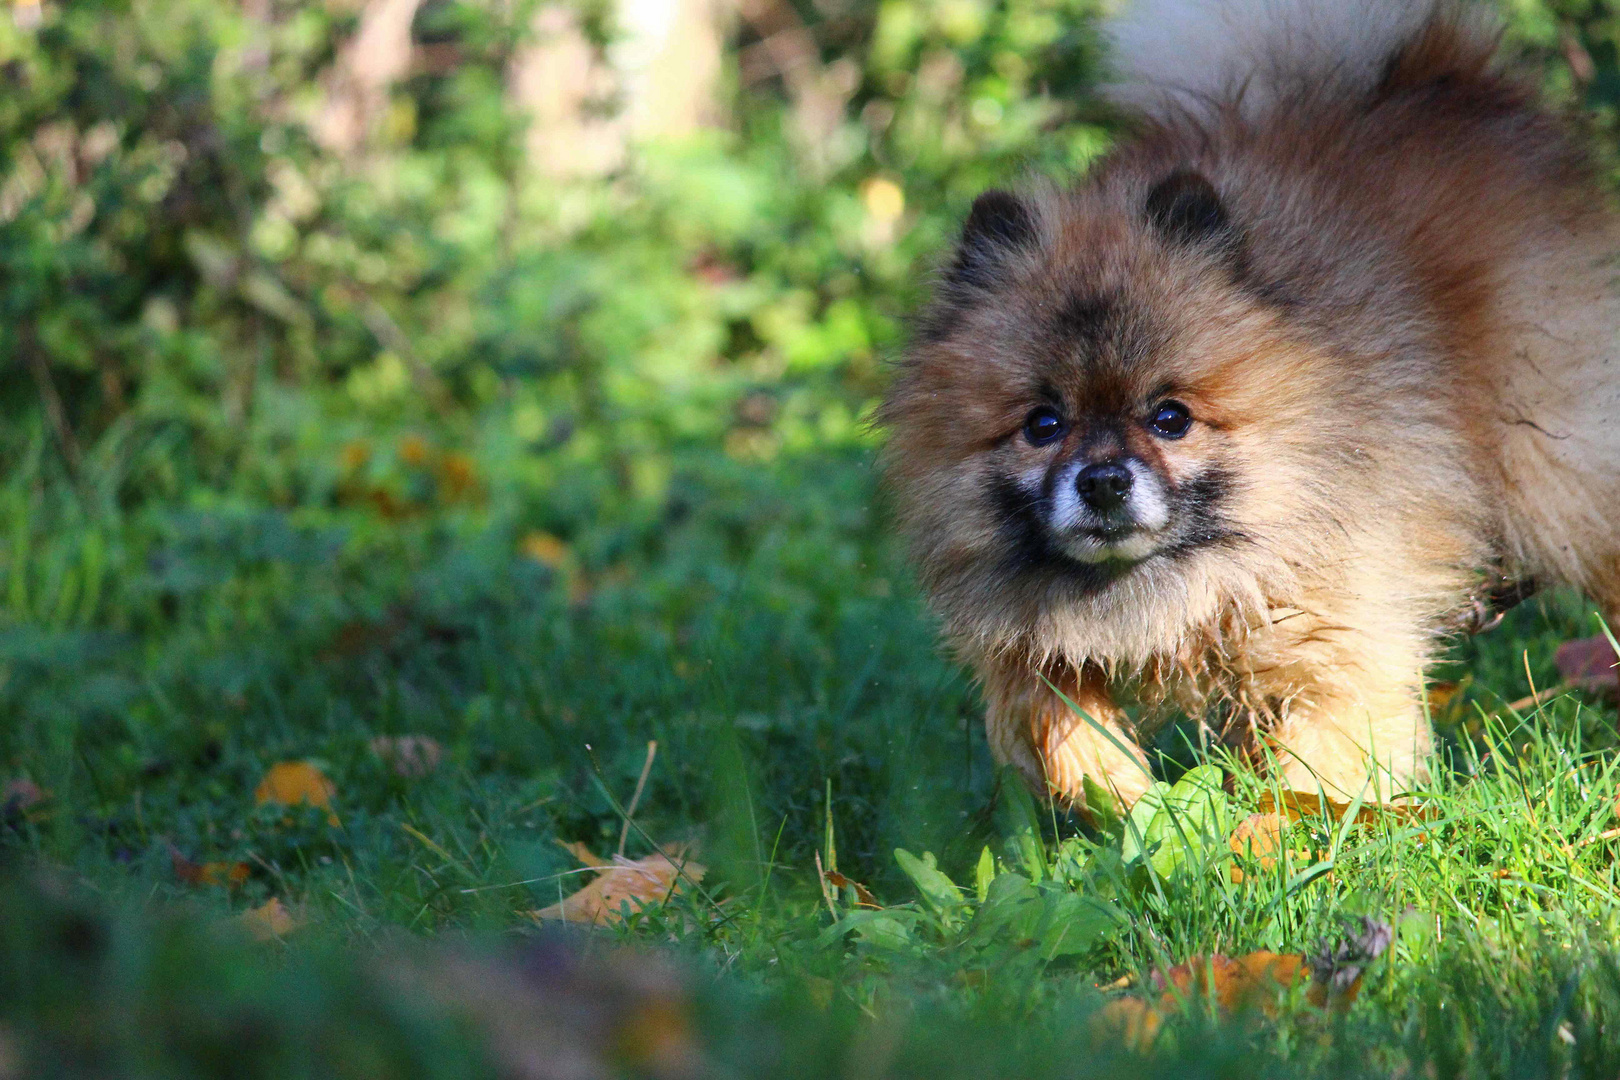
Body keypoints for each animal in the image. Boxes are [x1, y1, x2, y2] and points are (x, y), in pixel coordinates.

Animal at [881, 0, 1620, 809]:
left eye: (1170, 418)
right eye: (1043, 426)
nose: (1104, 481)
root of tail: (1434, 74)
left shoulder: (1344, 644)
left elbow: (1310, 781)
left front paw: (1268, 833)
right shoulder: (1030, 642)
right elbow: (1051, 710)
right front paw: (1117, 786)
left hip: (1554, 459)